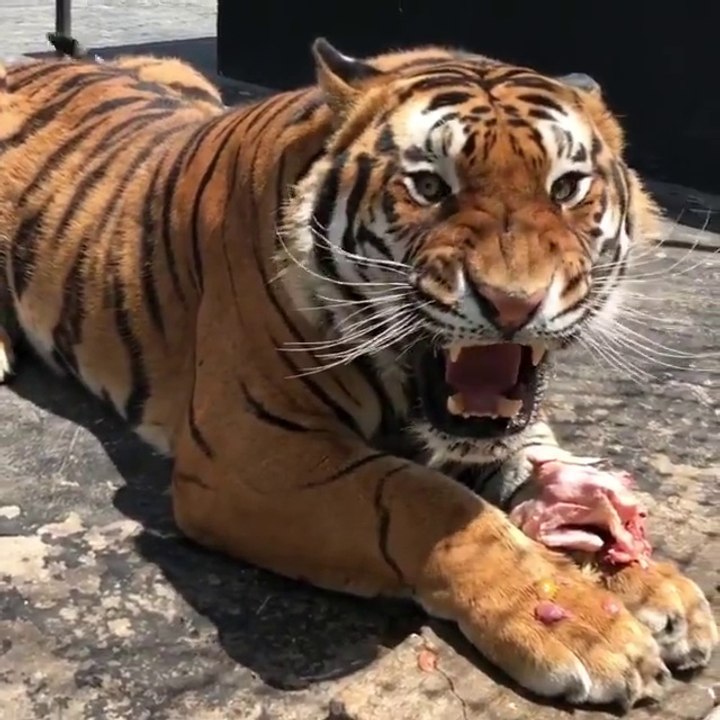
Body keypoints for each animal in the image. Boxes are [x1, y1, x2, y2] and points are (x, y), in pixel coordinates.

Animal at [0, 38, 716, 711]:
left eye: (566, 188)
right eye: (430, 186)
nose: (514, 305)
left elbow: (542, 472)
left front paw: (655, 586)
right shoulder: (251, 453)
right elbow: (429, 502)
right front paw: (587, 631)